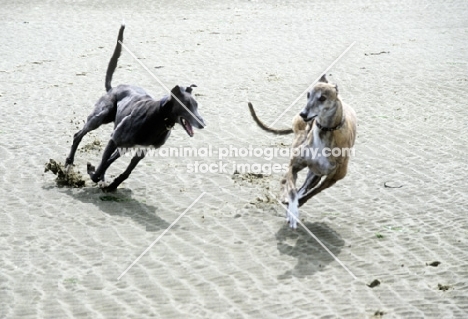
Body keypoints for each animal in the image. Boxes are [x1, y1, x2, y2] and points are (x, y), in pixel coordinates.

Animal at [64, 25, 205, 191]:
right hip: (101, 116)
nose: (202, 124)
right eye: (186, 105)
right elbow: (102, 164)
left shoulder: (141, 150)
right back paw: (69, 162)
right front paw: (94, 173)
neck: (157, 117)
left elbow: (123, 170)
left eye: (196, 105)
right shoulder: (114, 139)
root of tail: (113, 88)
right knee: (78, 135)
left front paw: (112, 185)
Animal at [249, 75, 354, 229]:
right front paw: (292, 211)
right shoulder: (294, 166)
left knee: (305, 188)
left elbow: (308, 195)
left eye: (322, 98)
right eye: (308, 95)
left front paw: (292, 212)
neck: (325, 132)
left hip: (315, 175)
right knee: (287, 182)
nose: (303, 114)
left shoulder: (331, 179)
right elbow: (293, 191)